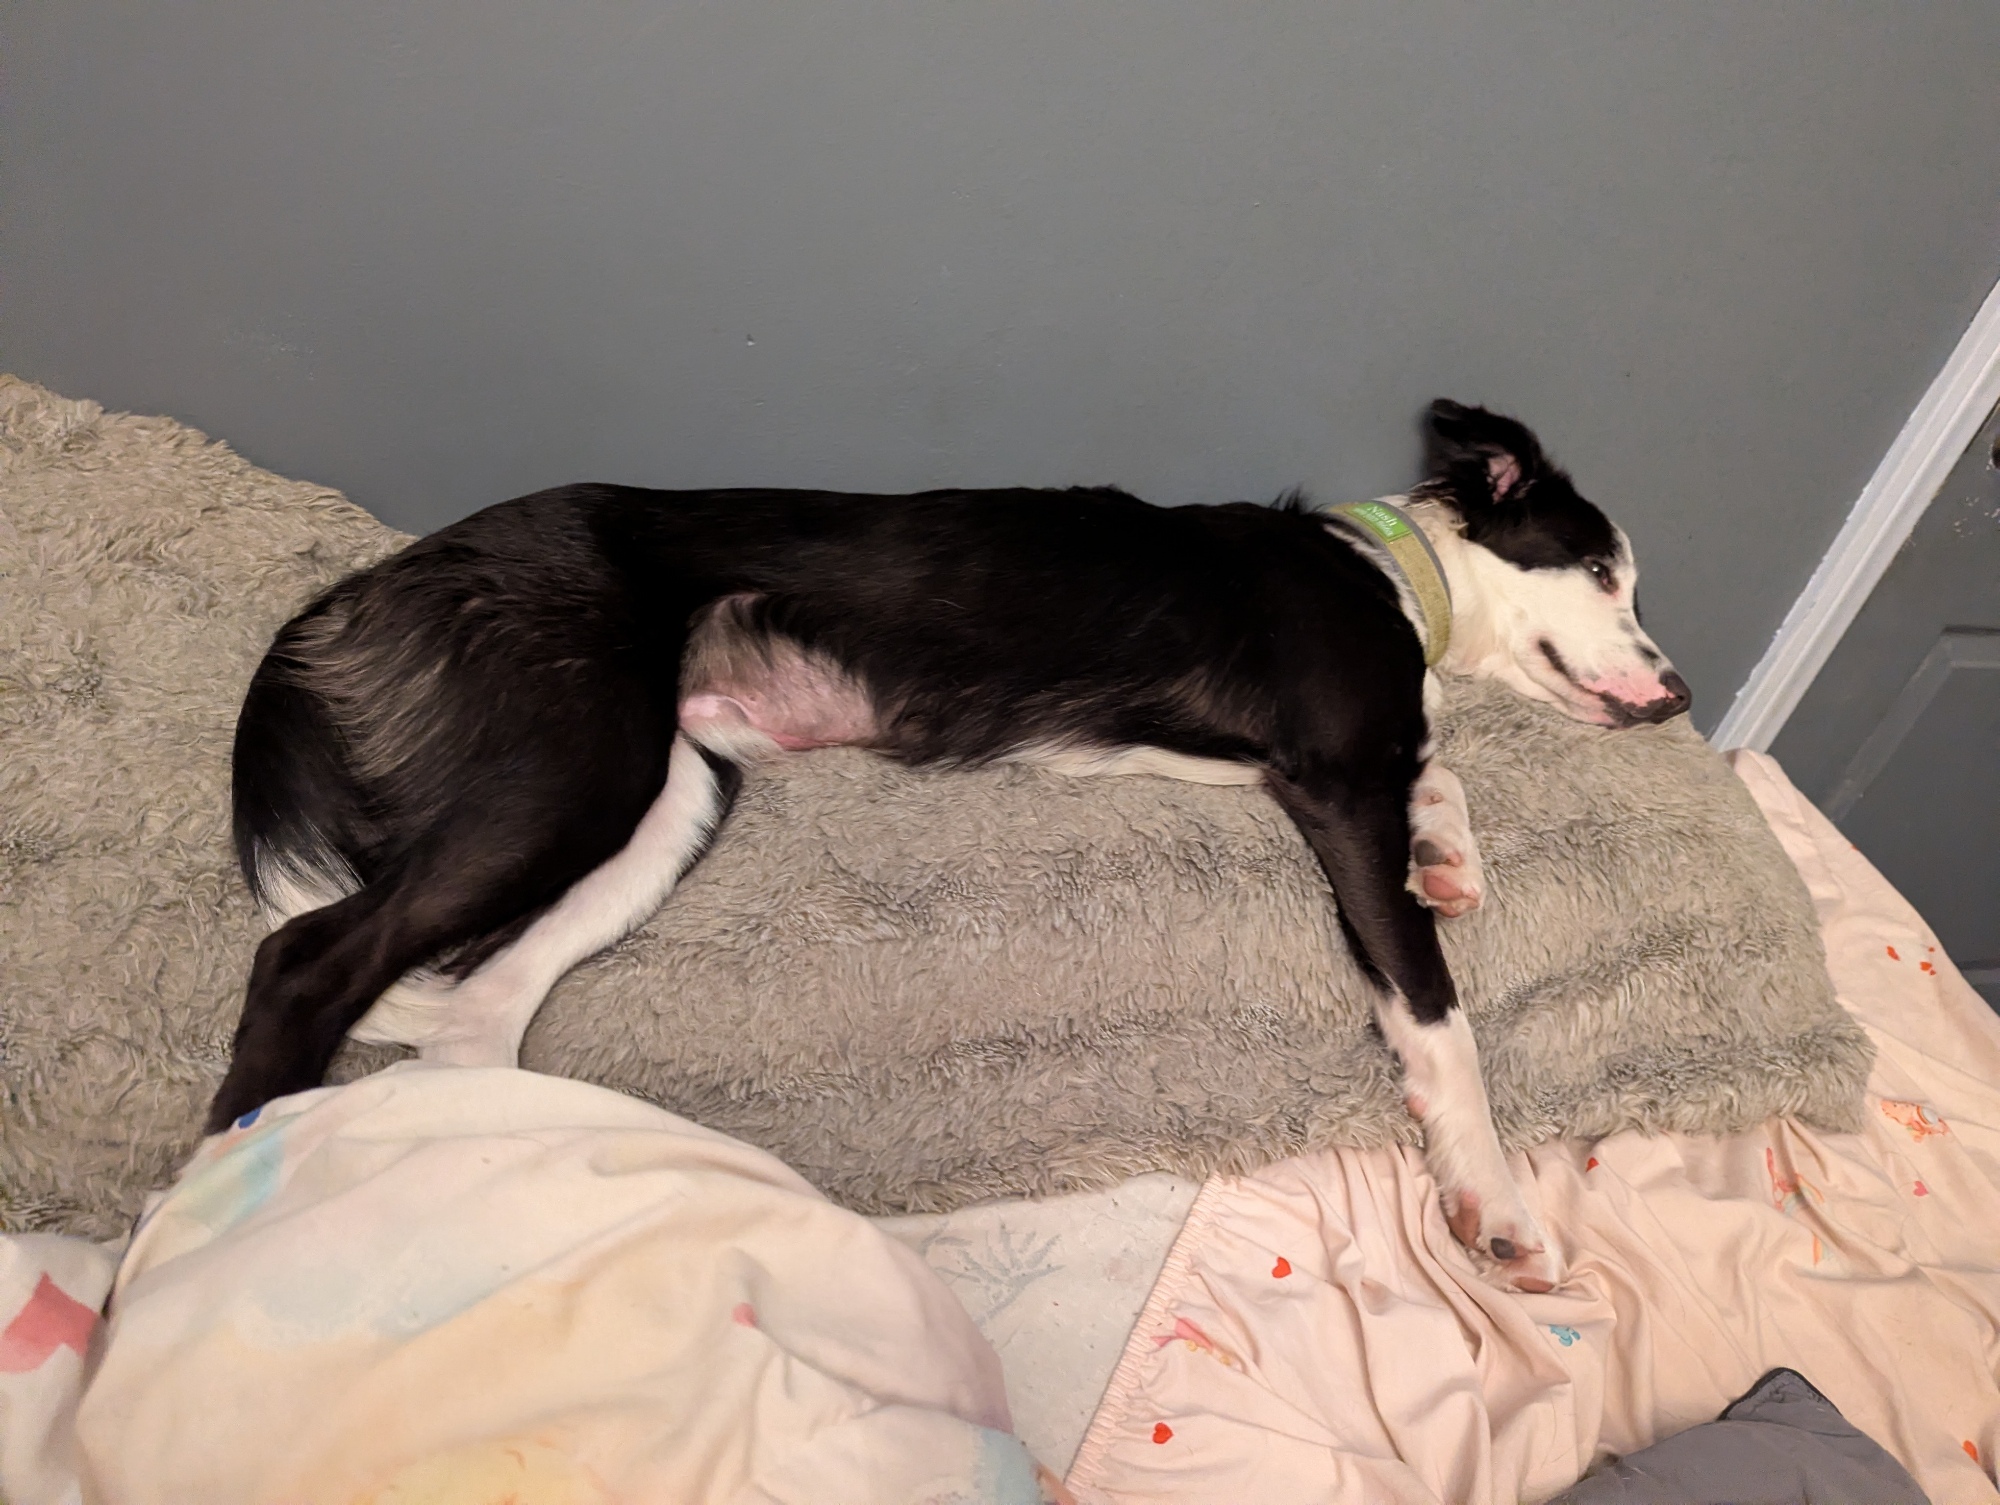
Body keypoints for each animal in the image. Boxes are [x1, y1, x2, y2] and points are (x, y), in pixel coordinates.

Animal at [214, 398, 1689, 1291]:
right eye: (1604, 574)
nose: (1678, 695)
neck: (1392, 575)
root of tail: (394, 567)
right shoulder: (1331, 783)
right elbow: (1438, 1012)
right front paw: (1491, 1199)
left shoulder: (1359, 769)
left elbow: (1441, 780)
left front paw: (1450, 850)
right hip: (576, 766)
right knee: (308, 959)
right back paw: (222, 1202)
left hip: (667, 802)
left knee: (475, 1010)